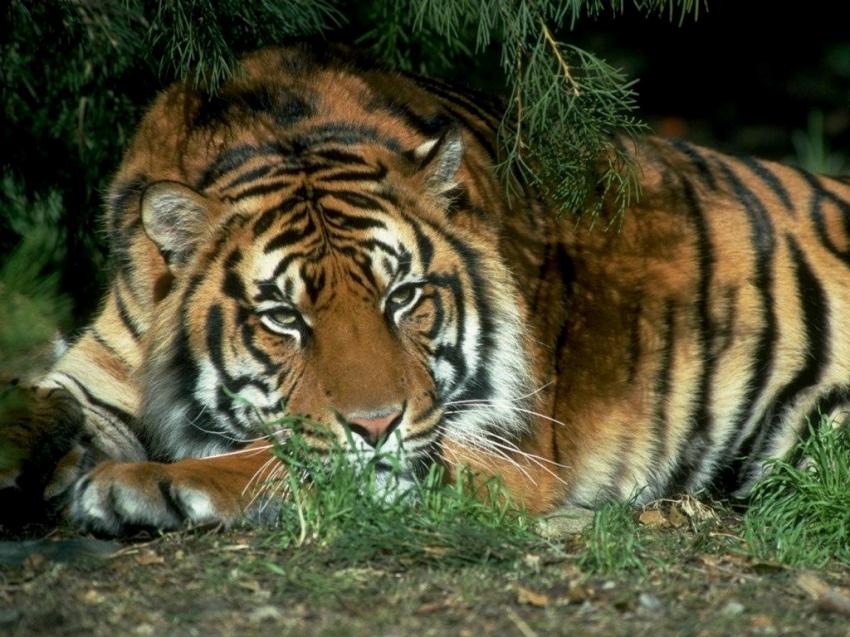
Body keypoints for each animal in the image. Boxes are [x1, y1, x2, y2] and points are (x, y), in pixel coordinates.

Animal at [2, 44, 850, 536]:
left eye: (403, 296)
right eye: (283, 315)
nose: (377, 423)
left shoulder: (498, 448)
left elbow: (285, 459)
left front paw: (137, 486)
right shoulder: (97, 370)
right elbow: (39, 403)